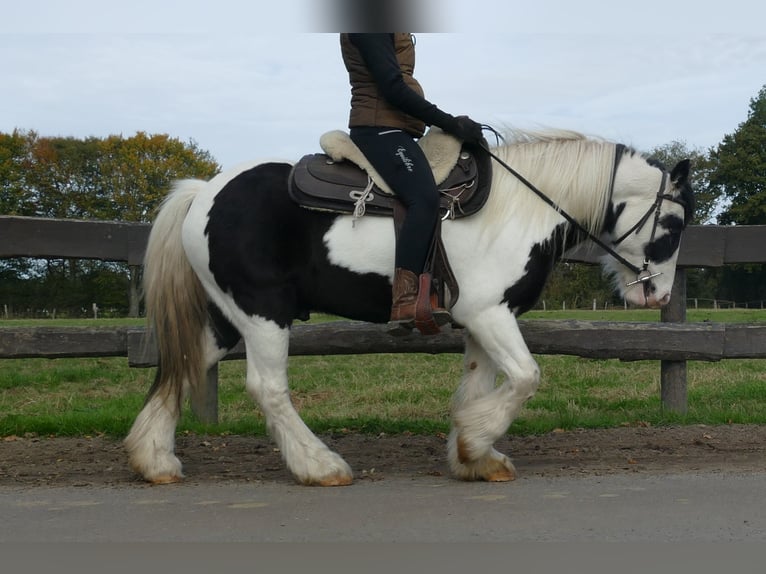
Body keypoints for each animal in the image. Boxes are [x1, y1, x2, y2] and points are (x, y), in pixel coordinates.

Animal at [124, 129, 696, 486]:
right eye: (673, 226)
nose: (658, 296)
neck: (522, 208)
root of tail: (203, 192)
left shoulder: (482, 319)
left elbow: (480, 386)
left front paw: (474, 456)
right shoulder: (490, 314)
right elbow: (526, 377)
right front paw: (475, 440)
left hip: (226, 317)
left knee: (184, 366)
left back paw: (154, 460)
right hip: (264, 313)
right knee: (267, 388)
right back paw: (319, 466)